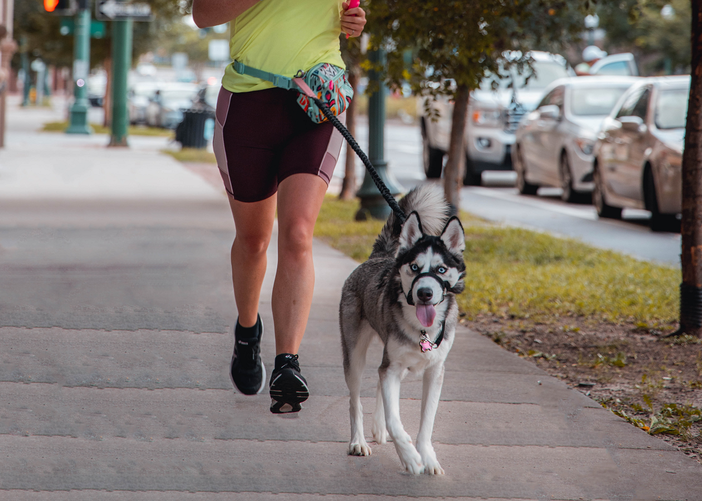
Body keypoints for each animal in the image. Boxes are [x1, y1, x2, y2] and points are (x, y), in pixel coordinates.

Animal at [340, 186, 468, 474]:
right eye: (414, 267)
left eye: (441, 269)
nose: (425, 293)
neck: (423, 331)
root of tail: (378, 257)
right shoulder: (393, 369)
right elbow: (394, 420)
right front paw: (409, 456)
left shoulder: (434, 372)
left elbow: (427, 423)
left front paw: (428, 457)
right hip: (354, 354)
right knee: (355, 399)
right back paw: (358, 441)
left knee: (377, 377)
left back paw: (376, 429)